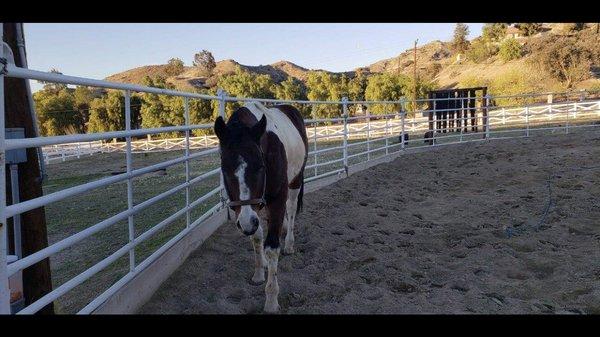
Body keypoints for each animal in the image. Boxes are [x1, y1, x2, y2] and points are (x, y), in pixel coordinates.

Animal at [214, 100, 310, 312]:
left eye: (260, 166)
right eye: (225, 169)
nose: (246, 223)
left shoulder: (276, 199)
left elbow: (271, 247)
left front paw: (271, 301)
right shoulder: (248, 210)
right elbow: (257, 237)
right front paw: (259, 272)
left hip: (295, 182)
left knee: (291, 210)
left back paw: (289, 243)